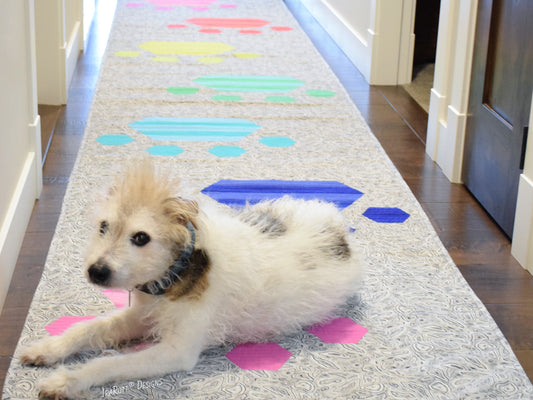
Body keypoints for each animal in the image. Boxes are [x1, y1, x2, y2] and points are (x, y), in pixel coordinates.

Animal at [20, 161, 362, 398]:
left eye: (141, 237)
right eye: (104, 226)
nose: (96, 270)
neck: (176, 273)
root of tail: (339, 229)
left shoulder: (177, 351)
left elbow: (110, 363)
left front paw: (67, 379)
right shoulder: (140, 315)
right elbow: (88, 329)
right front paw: (49, 348)